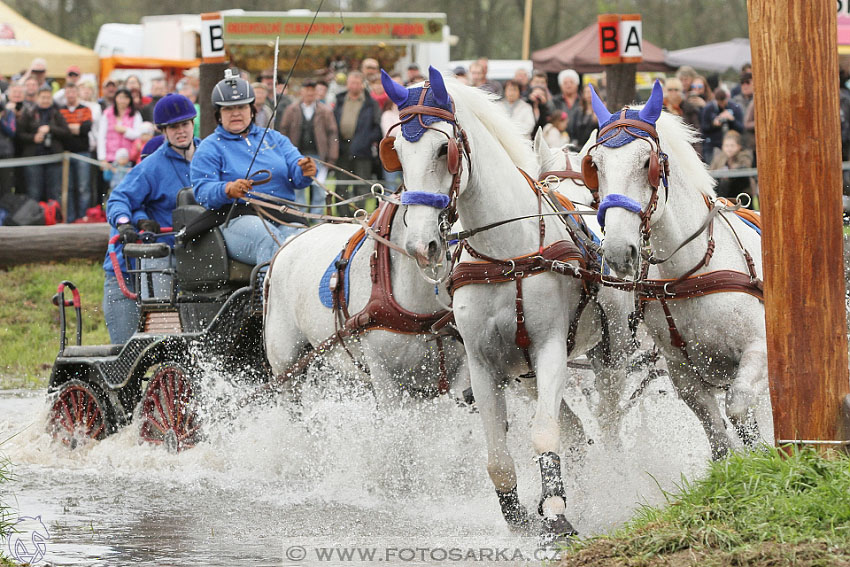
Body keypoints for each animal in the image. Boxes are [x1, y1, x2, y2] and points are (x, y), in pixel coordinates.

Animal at [382, 69, 628, 544]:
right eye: (397, 151)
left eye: (443, 149)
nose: (422, 245)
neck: (504, 255)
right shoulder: (483, 363)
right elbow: (497, 456)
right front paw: (519, 517)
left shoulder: (550, 349)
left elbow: (544, 433)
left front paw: (556, 516)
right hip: (523, 375)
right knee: (575, 429)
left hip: (611, 357)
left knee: (606, 422)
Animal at [584, 81, 768, 462]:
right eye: (595, 165)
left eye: (647, 163)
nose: (617, 250)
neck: (690, 275)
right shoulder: (682, 372)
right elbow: (719, 439)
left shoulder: (759, 349)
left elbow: (739, 407)